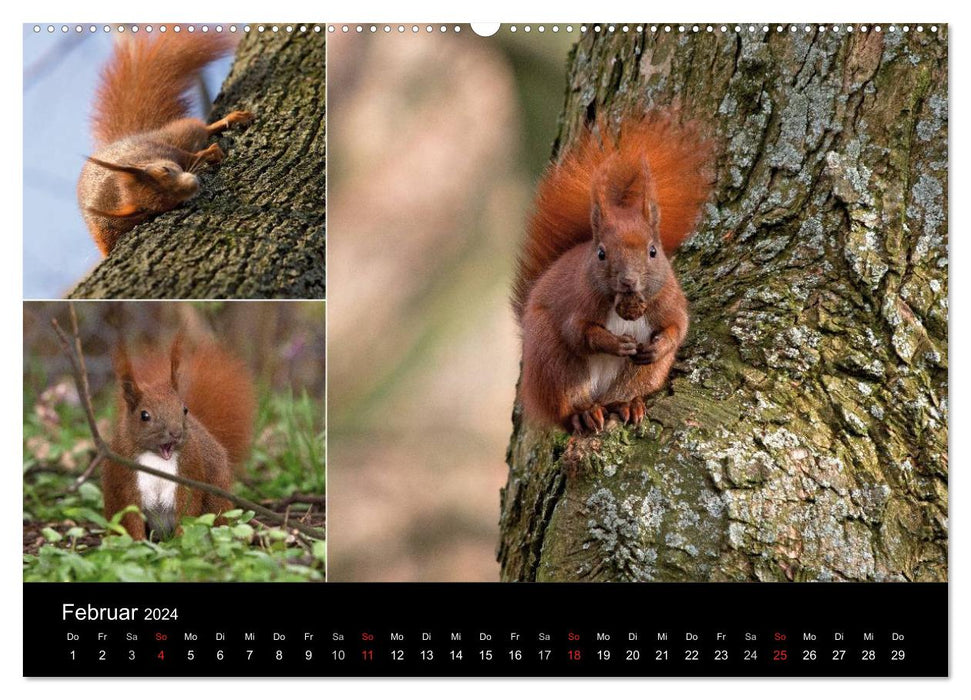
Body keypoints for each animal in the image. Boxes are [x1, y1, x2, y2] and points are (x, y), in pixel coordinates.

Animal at [79, 32, 254, 258]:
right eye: (166, 205)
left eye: (165, 170)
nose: (192, 185)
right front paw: (209, 154)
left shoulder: (164, 149)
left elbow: (189, 155)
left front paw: (210, 152)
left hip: (175, 135)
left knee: (199, 128)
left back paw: (231, 119)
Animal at [103, 334, 258, 540]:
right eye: (144, 415)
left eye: (184, 409)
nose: (176, 433)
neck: (157, 457)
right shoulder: (125, 476)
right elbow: (130, 515)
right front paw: (137, 541)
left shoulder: (189, 471)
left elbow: (188, 509)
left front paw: (182, 539)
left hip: (217, 496)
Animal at [516, 110, 712, 434]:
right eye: (601, 253)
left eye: (653, 251)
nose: (629, 281)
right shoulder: (578, 305)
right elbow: (580, 333)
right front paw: (615, 343)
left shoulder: (668, 301)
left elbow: (678, 326)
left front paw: (659, 346)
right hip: (553, 360)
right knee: (566, 406)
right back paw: (583, 413)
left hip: (640, 376)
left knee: (623, 393)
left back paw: (627, 404)